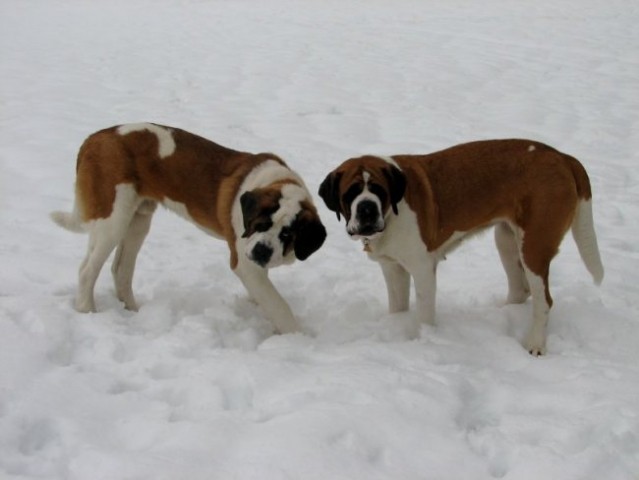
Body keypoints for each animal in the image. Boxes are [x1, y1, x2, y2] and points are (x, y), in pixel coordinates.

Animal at [52, 124, 328, 334]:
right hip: (113, 218)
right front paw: (298, 339)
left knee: (119, 268)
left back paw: (132, 311)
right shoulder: (244, 261)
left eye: (287, 234)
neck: (279, 182)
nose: (262, 251)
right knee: (87, 270)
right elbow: (278, 305)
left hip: (136, 219)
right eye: (260, 225)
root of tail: (95, 137)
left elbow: (266, 294)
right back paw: (87, 312)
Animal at [320, 139, 604, 356]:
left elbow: (424, 312)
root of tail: (562, 157)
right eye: (350, 193)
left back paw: (535, 345)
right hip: (506, 239)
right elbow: (398, 305)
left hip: (534, 245)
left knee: (544, 300)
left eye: (379, 190)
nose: (367, 208)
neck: (392, 213)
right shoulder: (393, 268)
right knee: (520, 289)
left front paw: (423, 341)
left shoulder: (422, 269)